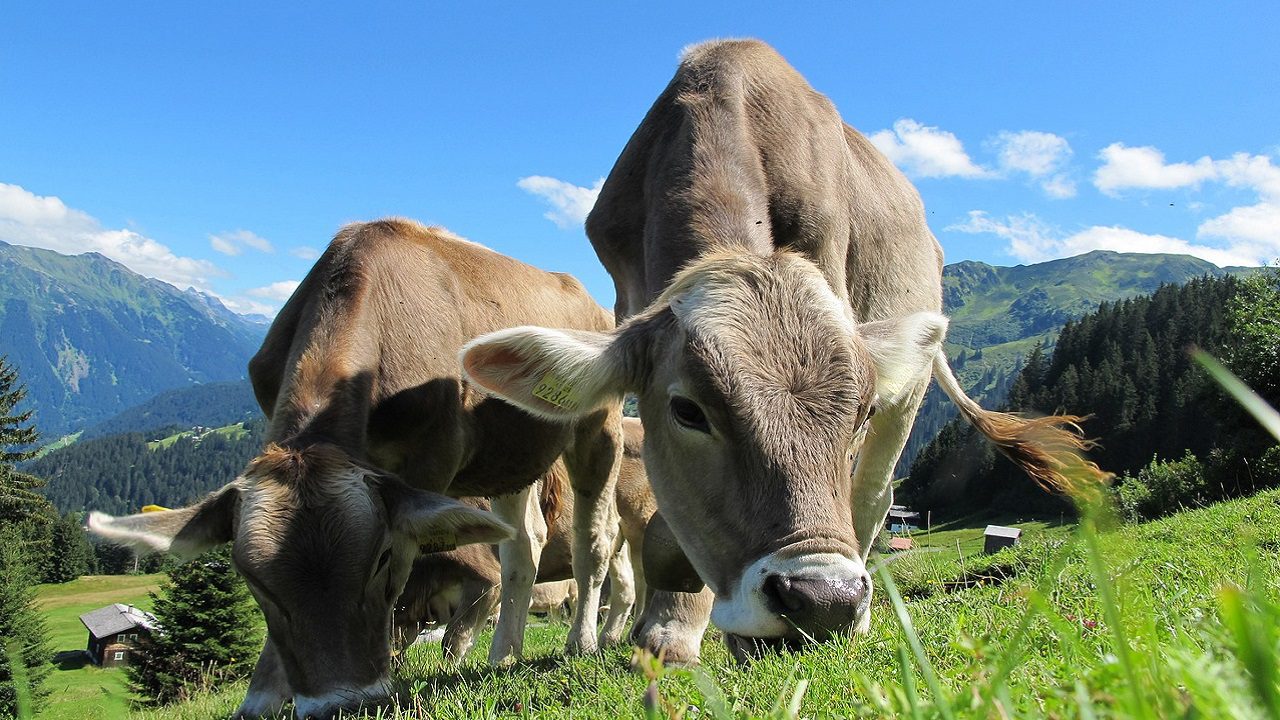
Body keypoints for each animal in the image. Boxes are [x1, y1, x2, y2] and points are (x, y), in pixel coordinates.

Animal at [88, 221, 624, 712]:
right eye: (252, 580)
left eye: (381, 559)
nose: (342, 705)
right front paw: (262, 698)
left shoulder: (430, 462)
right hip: (510, 457)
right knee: (524, 544)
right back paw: (503, 656)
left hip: (599, 426)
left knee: (594, 539)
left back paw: (583, 642)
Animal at [394, 417, 655, 661]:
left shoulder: (486, 579)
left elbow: (454, 638)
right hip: (618, 542)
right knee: (625, 586)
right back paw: (609, 638)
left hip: (640, 522)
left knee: (644, 576)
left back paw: (635, 631)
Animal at [465, 37, 1105, 655]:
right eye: (687, 411)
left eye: (860, 411)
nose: (824, 600)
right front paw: (672, 627)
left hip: (911, 389)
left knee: (872, 497)